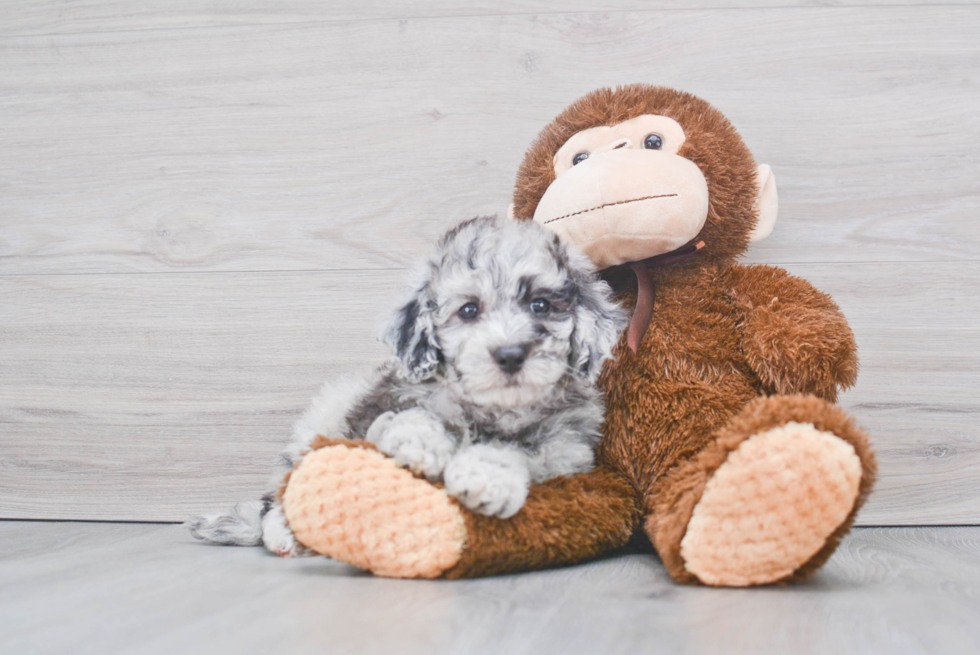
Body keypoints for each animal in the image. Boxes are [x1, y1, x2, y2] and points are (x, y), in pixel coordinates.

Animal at [188, 218, 624, 556]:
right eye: (469, 310)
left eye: (541, 305)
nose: (510, 354)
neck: (492, 411)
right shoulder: (383, 406)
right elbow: (411, 416)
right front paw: (419, 443)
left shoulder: (566, 454)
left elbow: (520, 453)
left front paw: (484, 475)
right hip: (320, 425)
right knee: (281, 495)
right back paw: (285, 534)